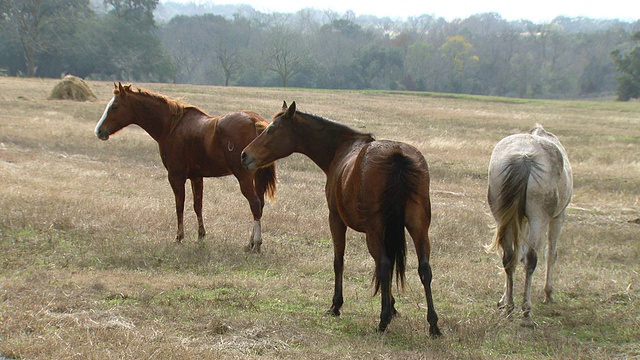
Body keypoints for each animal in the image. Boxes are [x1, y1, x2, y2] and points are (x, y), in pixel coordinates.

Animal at [94, 82, 276, 252]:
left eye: (115, 106)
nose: (99, 131)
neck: (171, 126)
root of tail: (255, 121)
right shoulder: (196, 177)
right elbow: (197, 206)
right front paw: (201, 236)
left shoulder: (176, 177)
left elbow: (179, 205)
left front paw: (179, 237)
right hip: (257, 178)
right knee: (259, 204)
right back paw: (250, 243)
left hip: (244, 177)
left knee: (254, 204)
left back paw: (256, 244)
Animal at [240, 100, 440, 334]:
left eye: (272, 129)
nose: (244, 155)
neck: (340, 149)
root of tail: (397, 155)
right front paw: (392, 307)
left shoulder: (336, 220)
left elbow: (339, 261)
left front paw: (336, 305)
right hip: (419, 229)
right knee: (424, 269)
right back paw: (433, 324)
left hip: (374, 232)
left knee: (383, 266)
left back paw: (382, 322)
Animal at [488, 124, 572, 330]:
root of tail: (524, 157)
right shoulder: (558, 217)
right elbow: (551, 254)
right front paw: (549, 293)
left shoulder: (518, 220)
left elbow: (516, 256)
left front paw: (502, 300)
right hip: (539, 219)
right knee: (531, 259)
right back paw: (526, 312)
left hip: (504, 216)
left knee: (509, 257)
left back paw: (509, 307)